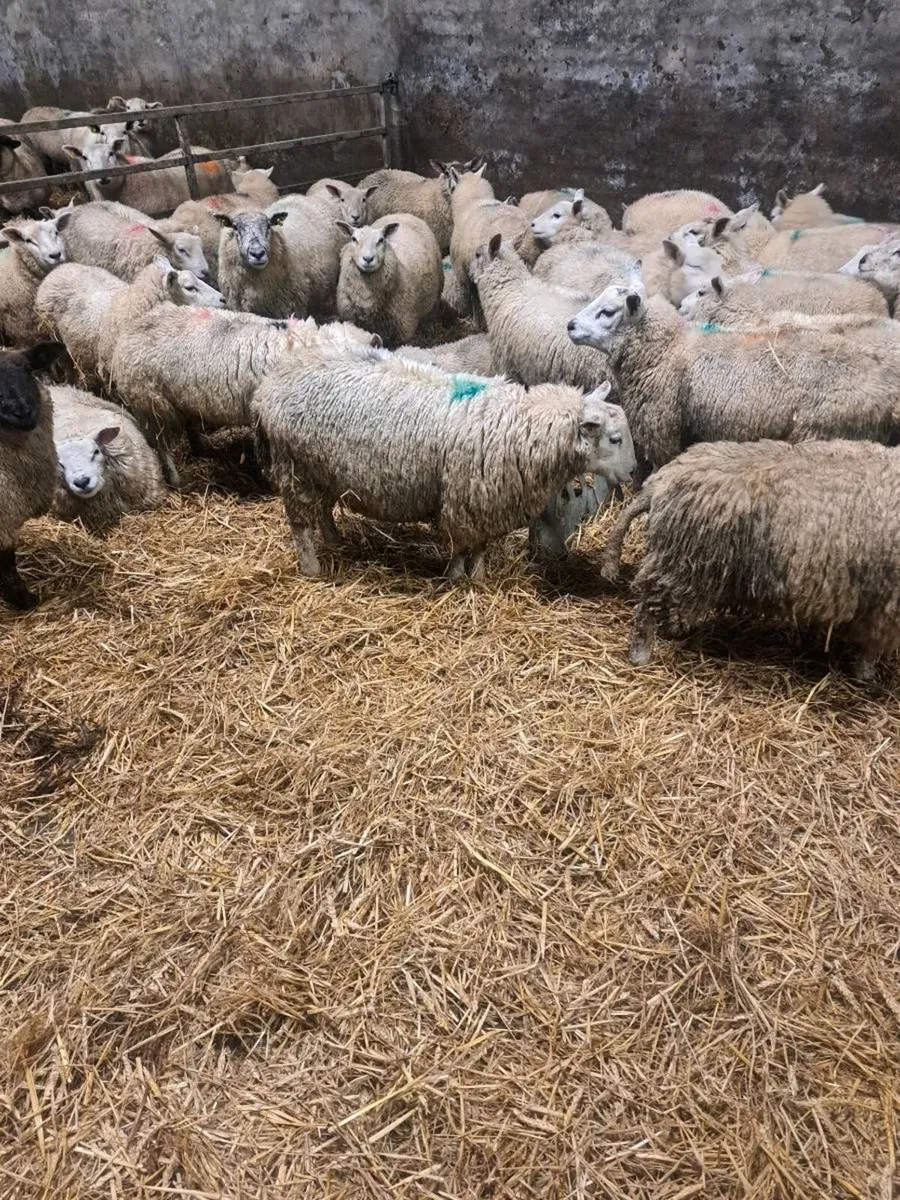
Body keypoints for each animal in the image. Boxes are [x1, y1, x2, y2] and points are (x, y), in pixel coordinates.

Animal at [108, 308, 376, 482]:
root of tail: (126, 334)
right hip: (150, 404)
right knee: (161, 445)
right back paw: (175, 478)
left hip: (179, 401)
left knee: (189, 427)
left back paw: (202, 448)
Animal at [252, 345, 635, 579]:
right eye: (615, 439)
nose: (633, 473)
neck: (520, 425)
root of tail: (269, 386)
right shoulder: (464, 499)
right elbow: (461, 545)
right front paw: (455, 578)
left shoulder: (487, 502)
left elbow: (480, 546)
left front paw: (478, 578)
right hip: (295, 468)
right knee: (301, 525)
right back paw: (311, 567)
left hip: (322, 469)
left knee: (322, 509)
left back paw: (335, 541)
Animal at [335, 214, 443, 347]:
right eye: (354, 239)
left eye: (381, 240)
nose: (368, 259)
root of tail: (404, 214)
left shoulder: (402, 330)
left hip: (436, 292)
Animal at [567, 279, 900, 473]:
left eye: (608, 312)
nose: (570, 325)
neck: (667, 349)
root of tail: (885, 393)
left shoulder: (662, 429)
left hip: (820, 432)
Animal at [601, 438, 900, 679]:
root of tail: (661, 482)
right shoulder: (884, 601)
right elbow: (872, 645)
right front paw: (865, 673)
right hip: (683, 561)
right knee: (647, 607)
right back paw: (640, 655)